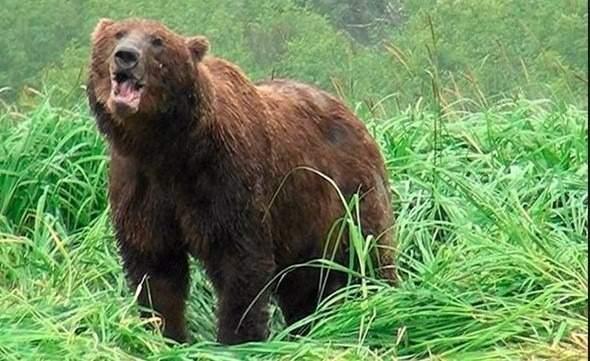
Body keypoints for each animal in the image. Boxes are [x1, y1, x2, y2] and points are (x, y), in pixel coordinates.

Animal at [85, 18, 396, 344]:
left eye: (157, 41)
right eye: (118, 33)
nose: (126, 56)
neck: (168, 147)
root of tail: (356, 119)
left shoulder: (225, 180)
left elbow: (240, 263)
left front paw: (235, 339)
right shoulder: (141, 185)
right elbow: (155, 267)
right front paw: (167, 334)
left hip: (346, 197)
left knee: (368, 257)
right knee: (304, 285)